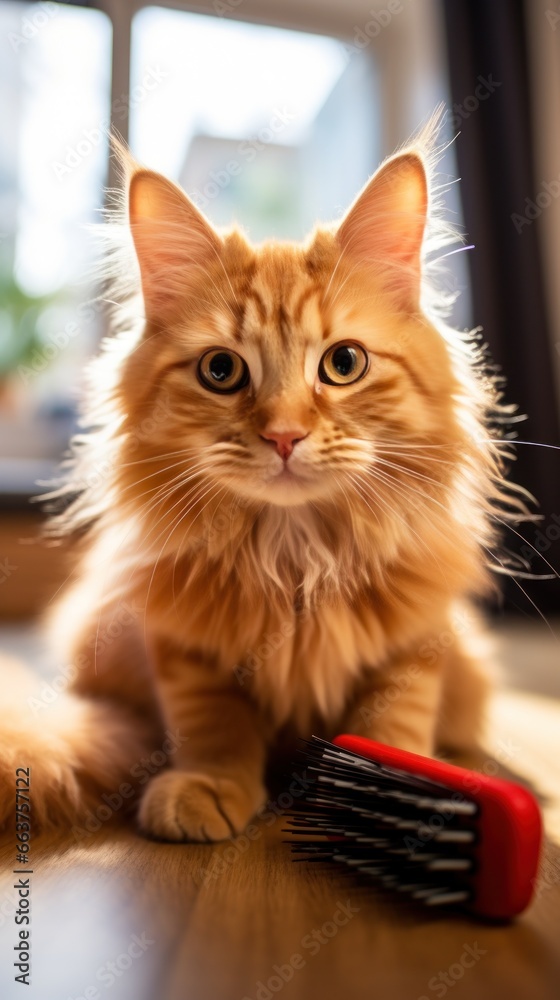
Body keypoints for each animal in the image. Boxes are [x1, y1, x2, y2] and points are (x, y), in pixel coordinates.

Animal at [0, 125, 512, 844]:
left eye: (344, 363)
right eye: (221, 370)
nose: (284, 435)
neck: (294, 559)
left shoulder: (418, 639)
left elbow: (390, 723)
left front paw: (395, 796)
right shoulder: (180, 642)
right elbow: (214, 722)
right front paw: (210, 786)